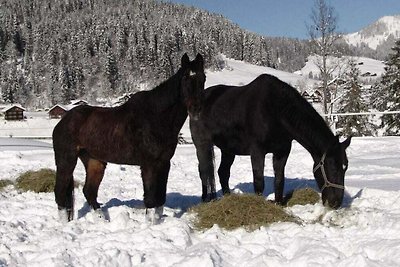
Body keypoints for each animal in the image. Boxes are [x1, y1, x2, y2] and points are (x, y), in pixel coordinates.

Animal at [54, 53, 206, 223]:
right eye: (185, 78)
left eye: (203, 78)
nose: (196, 109)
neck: (156, 117)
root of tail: (64, 120)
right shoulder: (149, 165)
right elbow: (150, 199)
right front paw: (149, 224)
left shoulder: (164, 163)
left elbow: (160, 197)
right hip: (66, 161)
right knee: (60, 192)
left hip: (95, 161)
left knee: (89, 192)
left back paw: (102, 219)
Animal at [191, 74, 350, 209]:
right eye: (332, 167)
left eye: (345, 168)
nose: (336, 202)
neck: (275, 110)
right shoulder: (257, 152)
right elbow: (259, 182)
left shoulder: (282, 151)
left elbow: (279, 180)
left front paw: (279, 204)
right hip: (202, 145)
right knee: (204, 171)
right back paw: (205, 200)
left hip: (228, 150)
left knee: (223, 172)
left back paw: (228, 198)